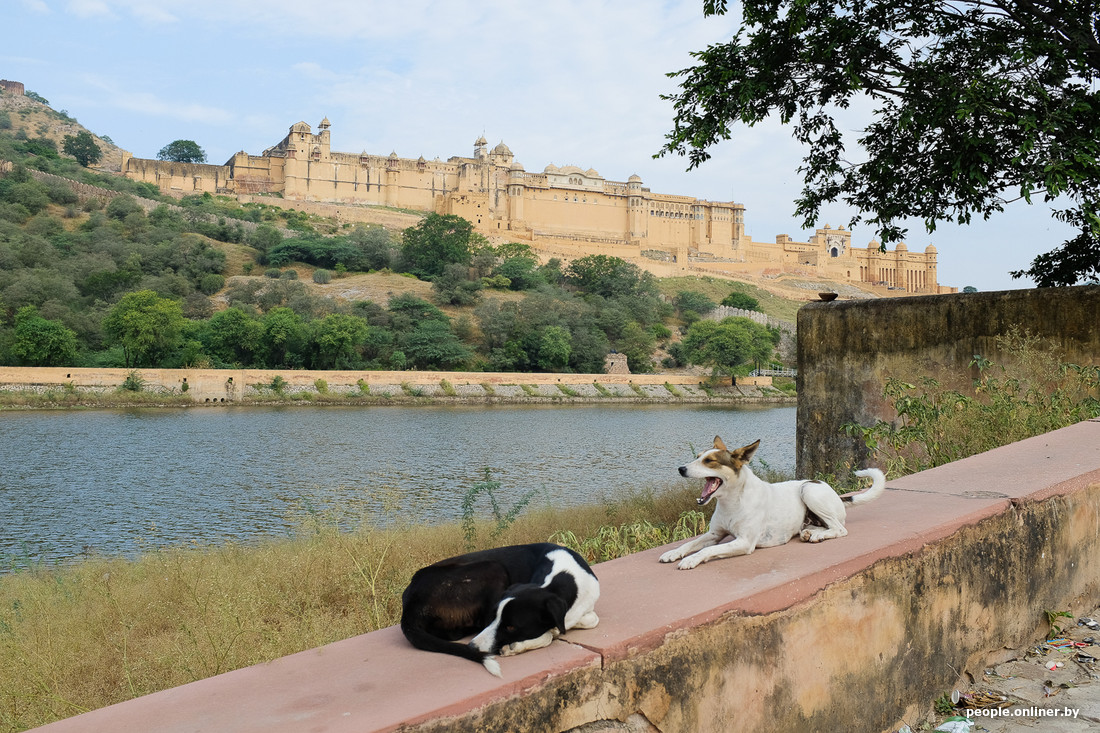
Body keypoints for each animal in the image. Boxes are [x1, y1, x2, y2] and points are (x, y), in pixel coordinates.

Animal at [400, 539, 598, 677]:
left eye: (510, 626)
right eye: (492, 617)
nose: (472, 647)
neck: (567, 577)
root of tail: (410, 604)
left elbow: (591, 619)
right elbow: (550, 634)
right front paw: (517, 646)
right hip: (493, 567)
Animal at [660, 433, 884, 572]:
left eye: (709, 461)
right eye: (697, 457)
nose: (680, 469)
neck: (732, 500)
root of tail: (835, 493)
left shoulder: (744, 542)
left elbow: (707, 550)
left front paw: (690, 559)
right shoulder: (715, 534)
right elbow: (691, 543)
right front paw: (673, 553)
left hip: (808, 490)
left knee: (839, 529)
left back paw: (819, 535)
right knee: (821, 526)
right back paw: (810, 533)